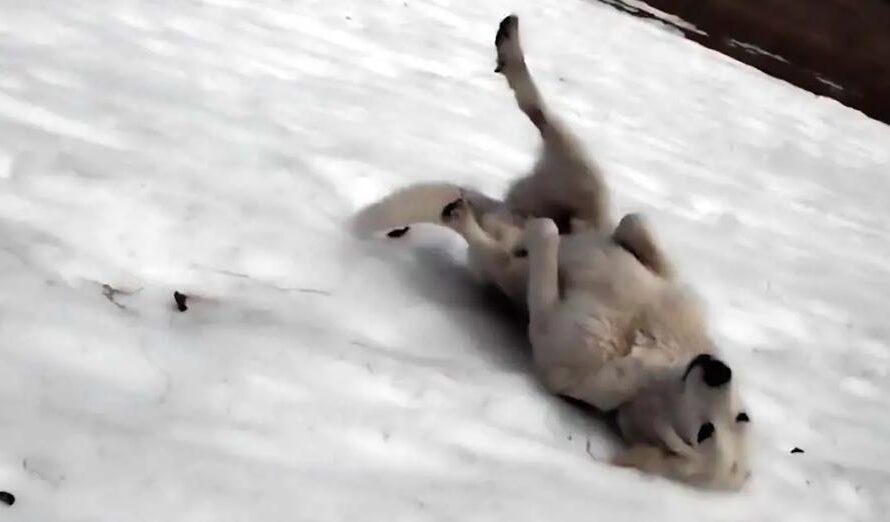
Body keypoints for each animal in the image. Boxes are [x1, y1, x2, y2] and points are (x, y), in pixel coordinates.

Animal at [354, 15, 748, 488]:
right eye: (743, 417)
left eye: (706, 434)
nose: (718, 369)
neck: (655, 360)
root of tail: (504, 205)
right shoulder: (666, 280)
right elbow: (635, 224)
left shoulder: (549, 337)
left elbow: (537, 247)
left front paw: (516, 241)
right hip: (585, 179)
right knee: (542, 116)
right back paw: (510, 47)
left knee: (509, 215)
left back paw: (472, 214)